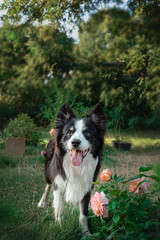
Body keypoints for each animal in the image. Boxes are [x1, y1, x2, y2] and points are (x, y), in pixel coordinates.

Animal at [37, 102, 106, 235]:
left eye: (87, 133)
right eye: (69, 132)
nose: (75, 142)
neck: (76, 167)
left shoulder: (87, 187)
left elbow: (83, 214)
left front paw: (86, 233)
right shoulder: (58, 184)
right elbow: (60, 210)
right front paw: (60, 228)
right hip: (49, 170)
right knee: (48, 184)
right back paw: (42, 201)